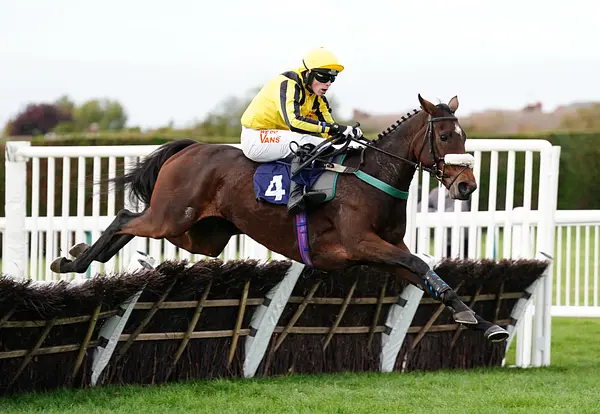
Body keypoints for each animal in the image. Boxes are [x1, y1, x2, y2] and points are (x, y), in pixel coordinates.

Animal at [50, 94, 509, 343]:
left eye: (465, 136)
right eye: (446, 136)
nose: (466, 187)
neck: (373, 176)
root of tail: (191, 147)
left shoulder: (385, 250)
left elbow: (429, 274)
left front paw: (484, 323)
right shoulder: (363, 244)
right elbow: (420, 264)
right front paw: (476, 319)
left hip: (204, 234)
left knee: (143, 230)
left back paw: (102, 257)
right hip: (171, 216)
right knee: (124, 217)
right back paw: (72, 260)